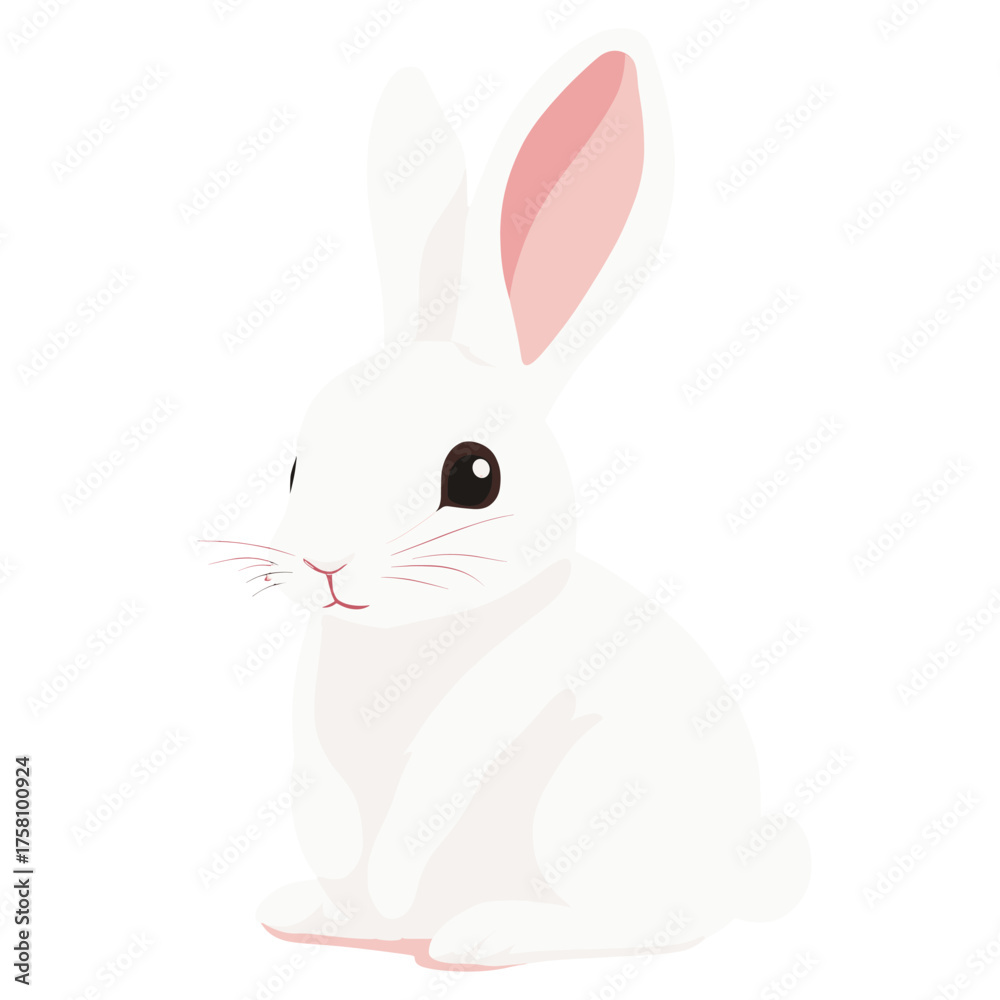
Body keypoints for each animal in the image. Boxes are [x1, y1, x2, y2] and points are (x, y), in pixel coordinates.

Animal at [210, 29, 809, 969]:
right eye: (299, 468)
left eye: (476, 476)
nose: (323, 563)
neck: (404, 641)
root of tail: (736, 870)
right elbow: (335, 816)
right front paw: (342, 904)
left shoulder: (492, 709)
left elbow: (421, 808)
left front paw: (393, 894)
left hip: (592, 798)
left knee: (649, 922)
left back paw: (483, 934)